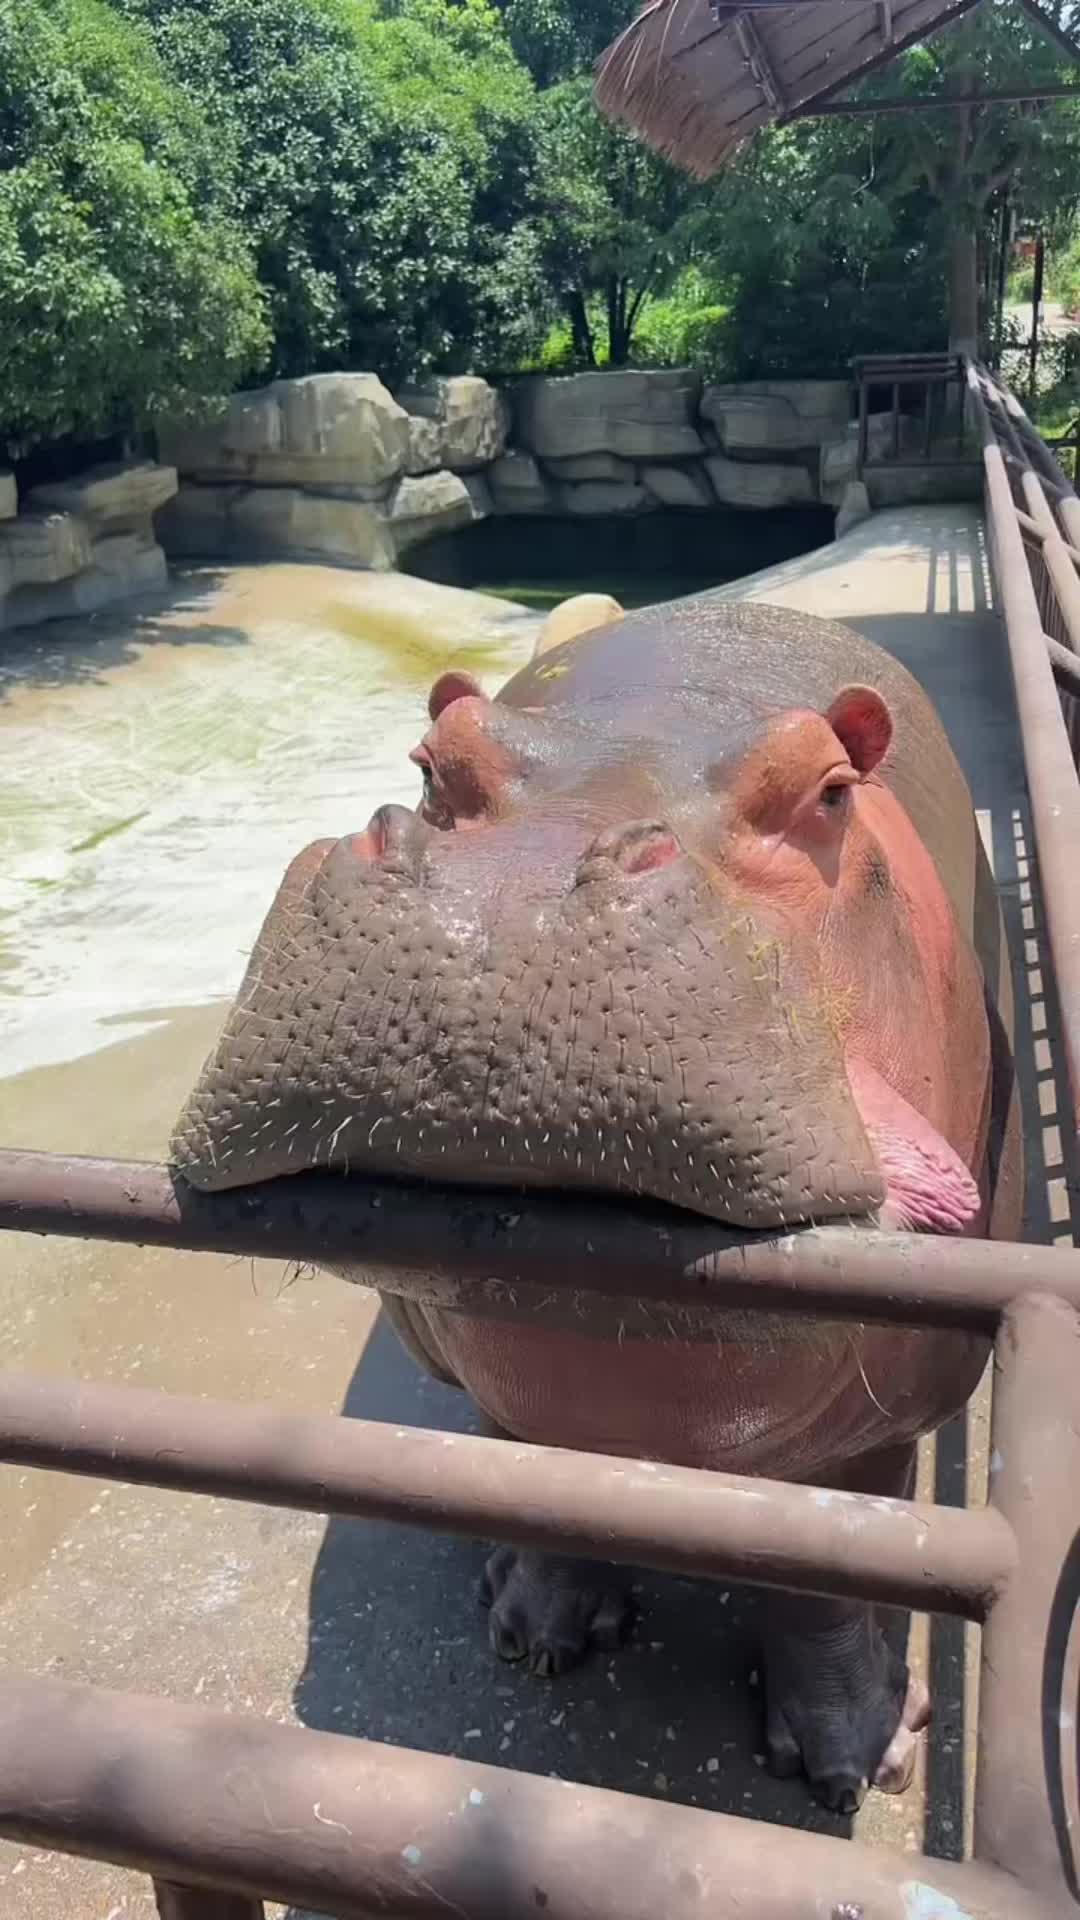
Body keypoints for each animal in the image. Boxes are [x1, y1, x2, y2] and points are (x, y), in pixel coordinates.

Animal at [171, 594, 1022, 1815]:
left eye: (829, 791)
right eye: (431, 763)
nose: (509, 887)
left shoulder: (888, 1418)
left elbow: (830, 1574)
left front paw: (853, 1761)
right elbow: (528, 1469)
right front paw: (535, 1632)